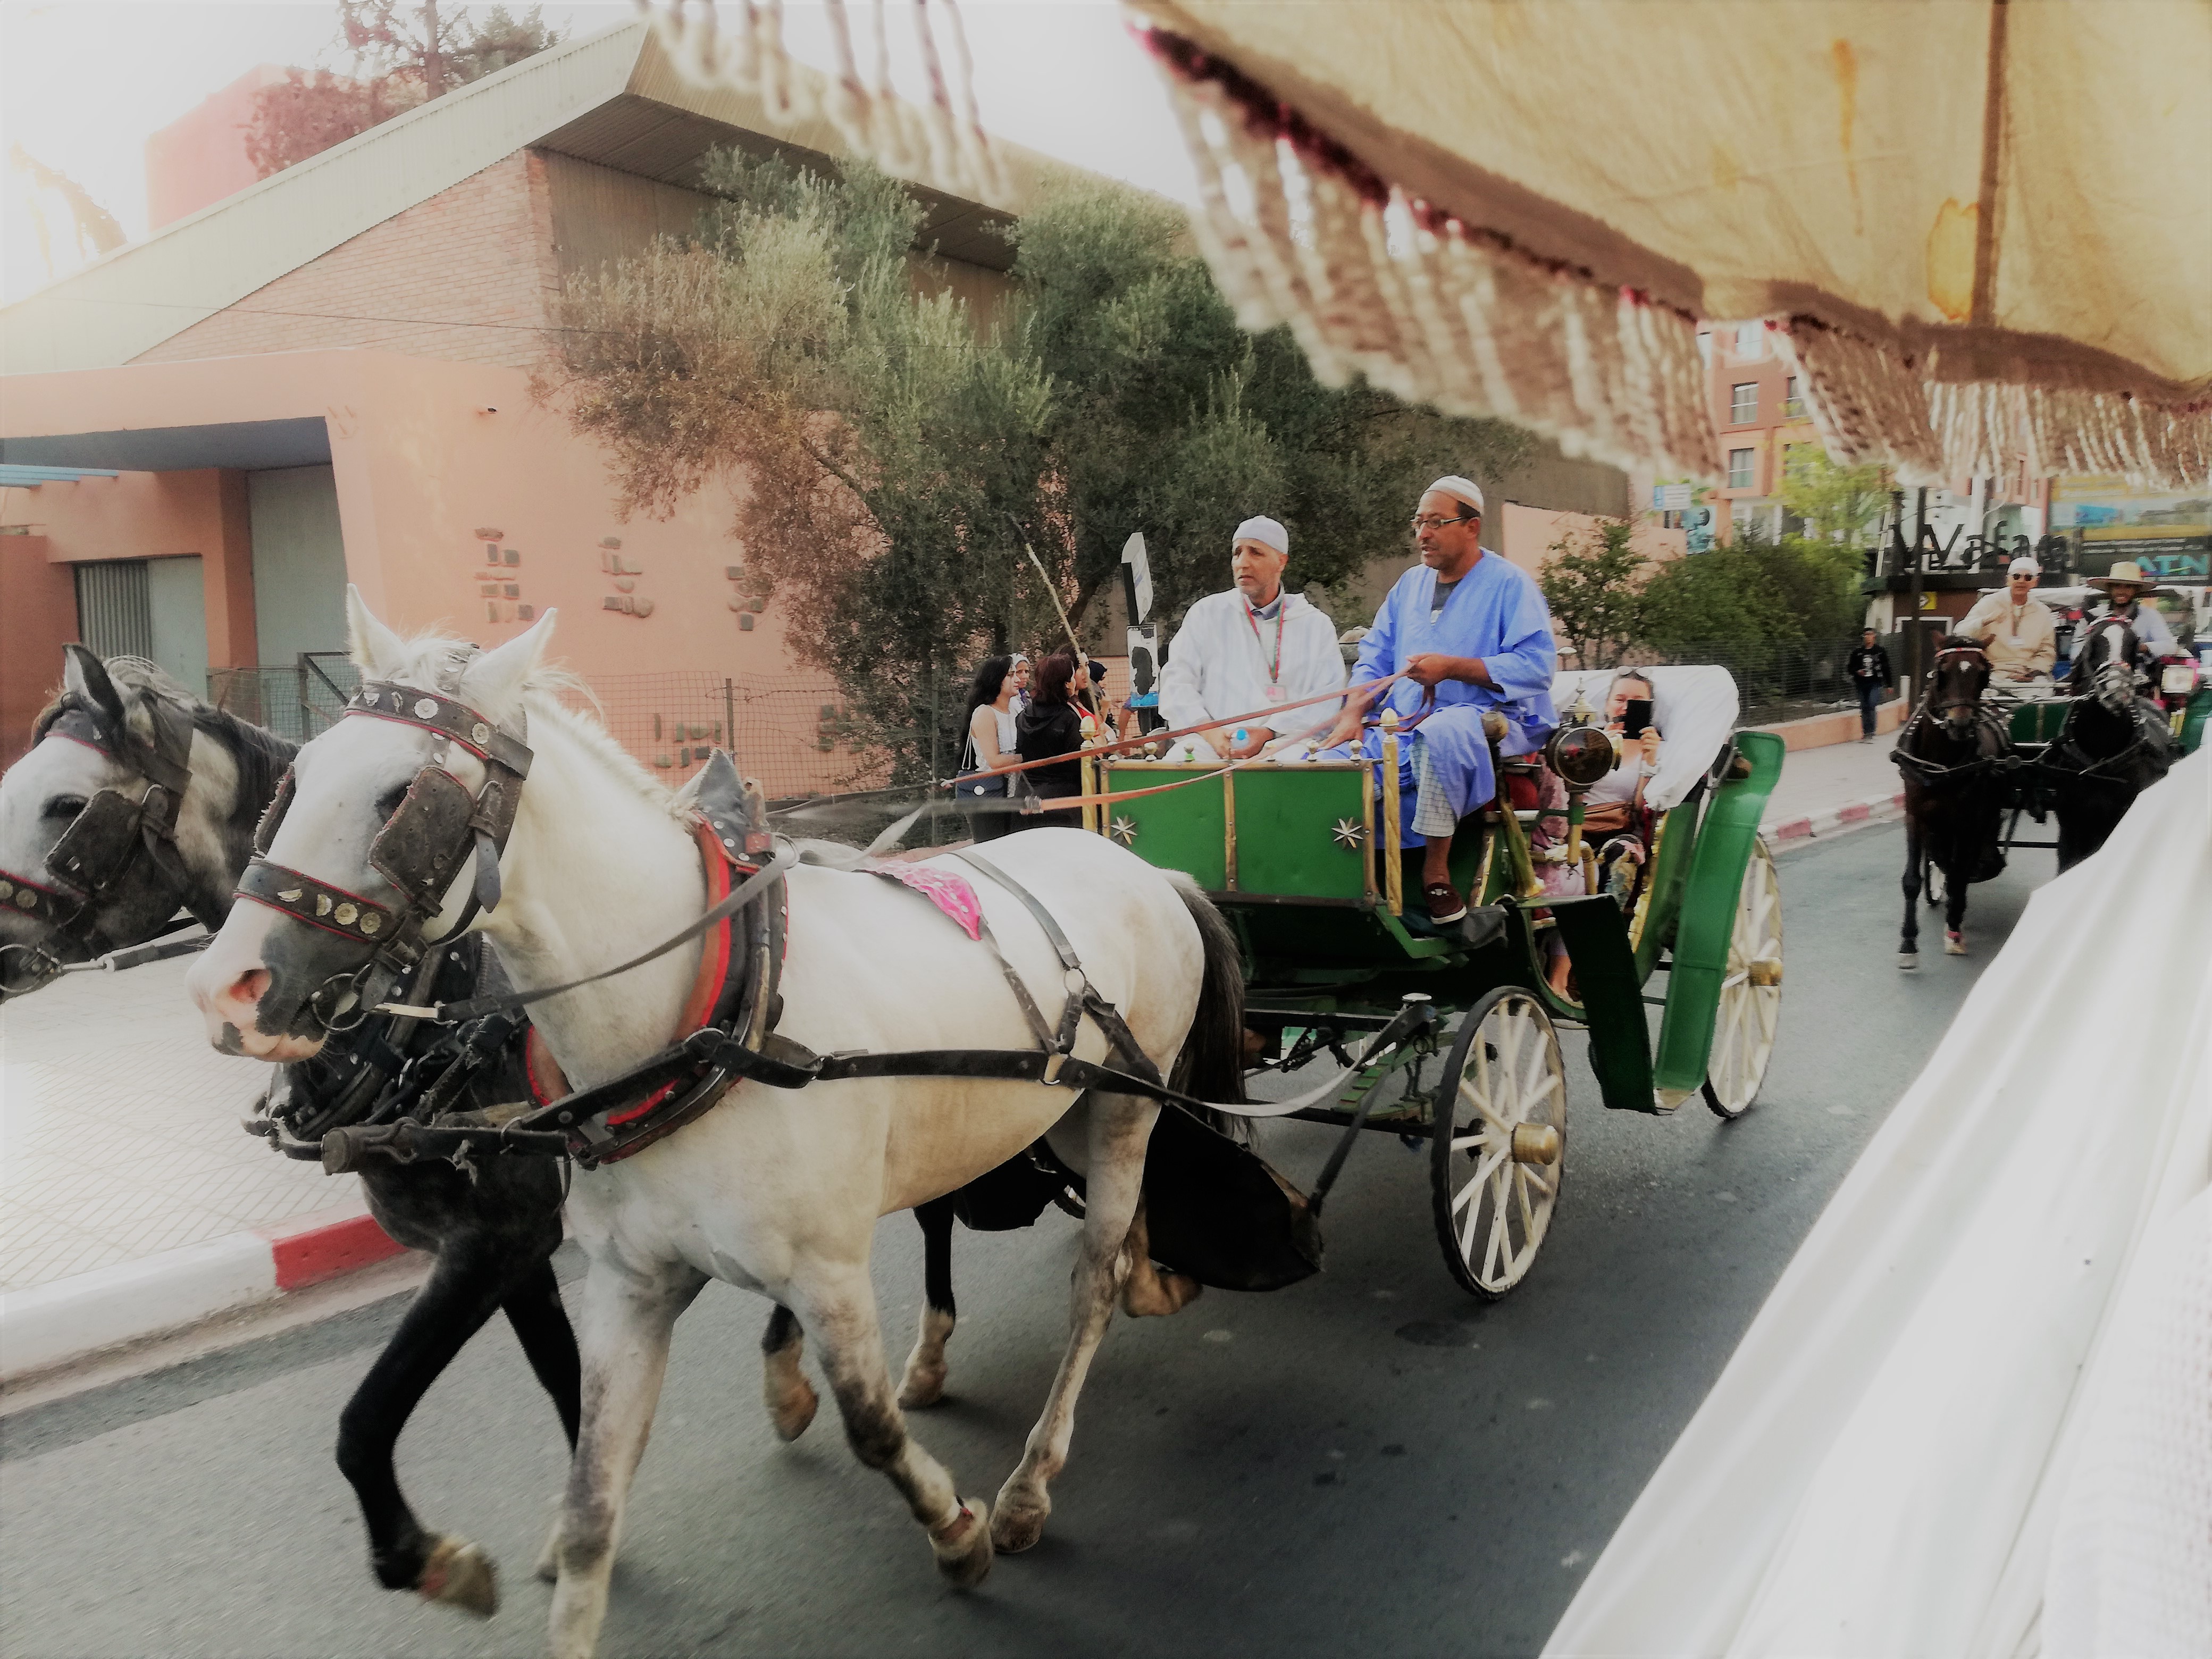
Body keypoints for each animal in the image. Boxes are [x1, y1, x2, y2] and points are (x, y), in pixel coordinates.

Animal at [186, 593, 1247, 1658]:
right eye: (297, 779)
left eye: (402, 797)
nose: (224, 988)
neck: (705, 1019)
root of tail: (1143, 866)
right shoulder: (627, 1284)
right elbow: (590, 1501)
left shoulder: (823, 1272)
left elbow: (870, 1427)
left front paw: (957, 1530)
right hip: (1057, 1116)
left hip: (1121, 1109)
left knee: (1089, 1284)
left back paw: (1033, 1477)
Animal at [1891, 637, 2010, 968]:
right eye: (1941, 674)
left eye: (1984, 675)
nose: (1960, 724)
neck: (1939, 762)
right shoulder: (1915, 815)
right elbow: (1911, 880)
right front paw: (1908, 944)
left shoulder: (1965, 820)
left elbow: (1959, 873)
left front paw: (1955, 930)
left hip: (1982, 815)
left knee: (1965, 865)